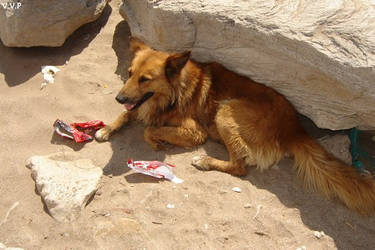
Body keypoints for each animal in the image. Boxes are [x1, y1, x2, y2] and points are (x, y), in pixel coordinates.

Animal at [96, 37, 375, 215]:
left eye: (145, 79)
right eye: (129, 73)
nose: (119, 98)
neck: (174, 91)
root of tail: (294, 128)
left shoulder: (194, 131)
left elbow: (149, 129)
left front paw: (157, 141)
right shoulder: (139, 106)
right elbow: (127, 116)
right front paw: (105, 128)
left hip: (225, 112)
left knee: (240, 167)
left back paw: (205, 161)